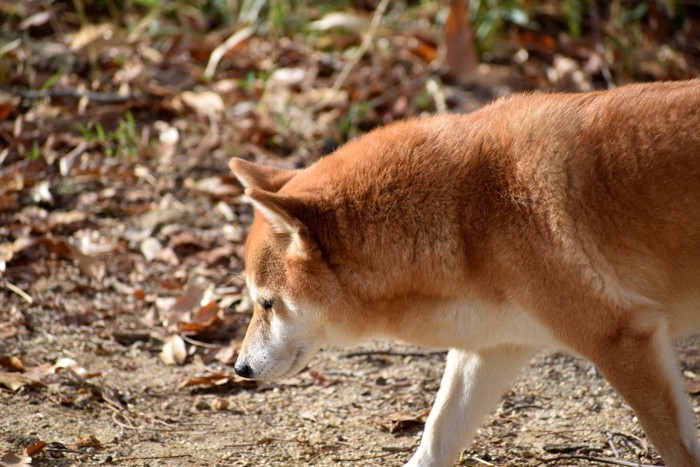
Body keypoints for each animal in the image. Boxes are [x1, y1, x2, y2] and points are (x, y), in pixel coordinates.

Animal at [231, 78, 700, 466]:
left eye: (266, 303)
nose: (239, 369)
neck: (471, 215)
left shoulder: (622, 339)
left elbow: (678, 451)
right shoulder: (492, 347)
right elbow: (436, 437)